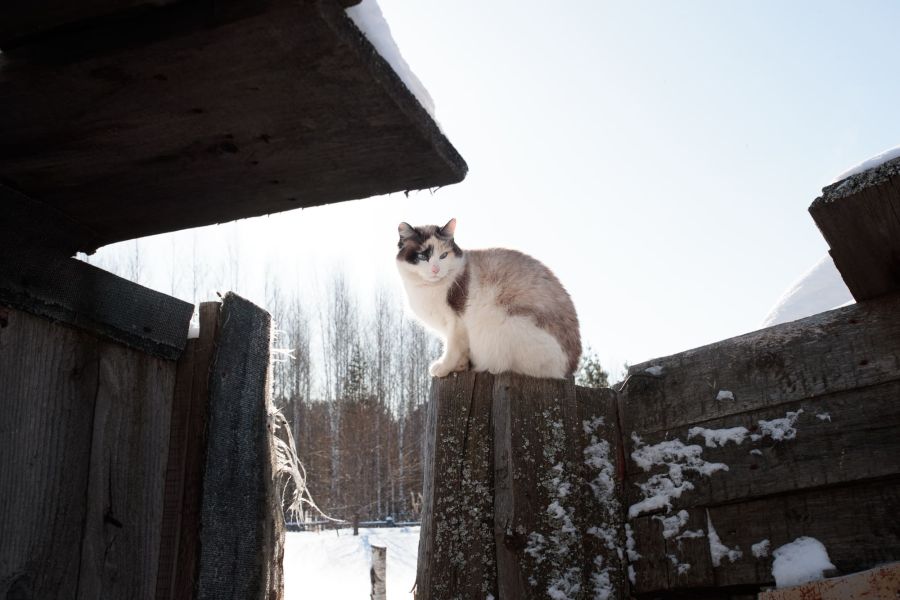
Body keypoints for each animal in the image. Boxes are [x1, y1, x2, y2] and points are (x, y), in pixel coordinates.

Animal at [396, 218, 581, 379]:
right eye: (422, 256)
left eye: (443, 256)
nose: (435, 270)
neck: (428, 288)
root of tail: (569, 369)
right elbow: (459, 350)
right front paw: (459, 367)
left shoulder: (456, 323)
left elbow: (452, 348)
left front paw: (443, 367)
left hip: (506, 325)